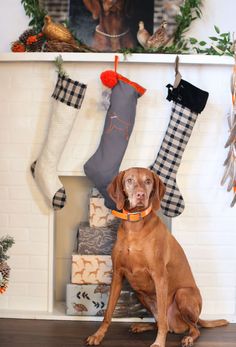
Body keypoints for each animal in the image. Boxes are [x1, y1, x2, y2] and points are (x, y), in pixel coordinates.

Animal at [85, 167, 228, 346]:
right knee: (161, 322)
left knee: (191, 327)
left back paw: (188, 337)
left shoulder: (159, 276)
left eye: (148, 181)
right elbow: (108, 312)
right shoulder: (117, 274)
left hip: (183, 294)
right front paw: (98, 335)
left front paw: (159, 342)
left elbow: (162, 317)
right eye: (129, 180)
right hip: (140, 293)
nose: (140, 195)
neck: (134, 226)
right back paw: (142, 326)